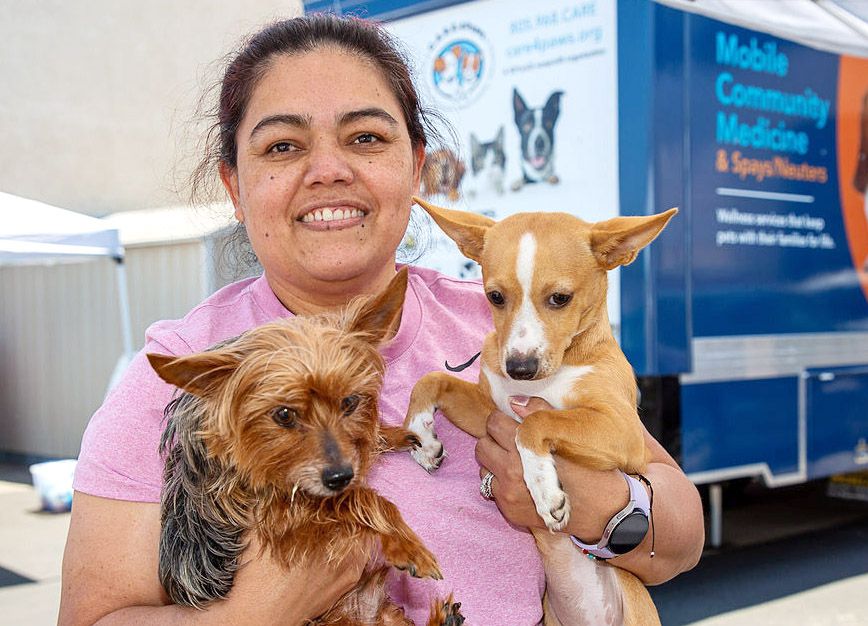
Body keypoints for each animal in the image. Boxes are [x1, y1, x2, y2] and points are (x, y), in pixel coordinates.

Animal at [149, 270, 464, 624]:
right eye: (284, 414)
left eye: (350, 402)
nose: (340, 477)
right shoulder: (281, 517)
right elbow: (366, 499)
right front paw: (407, 545)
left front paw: (395, 436)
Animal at [404, 196, 676, 624]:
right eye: (495, 297)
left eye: (560, 298)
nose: (519, 367)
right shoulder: (489, 412)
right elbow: (432, 379)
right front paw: (421, 437)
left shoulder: (624, 432)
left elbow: (535, 421)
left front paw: (545, 489)